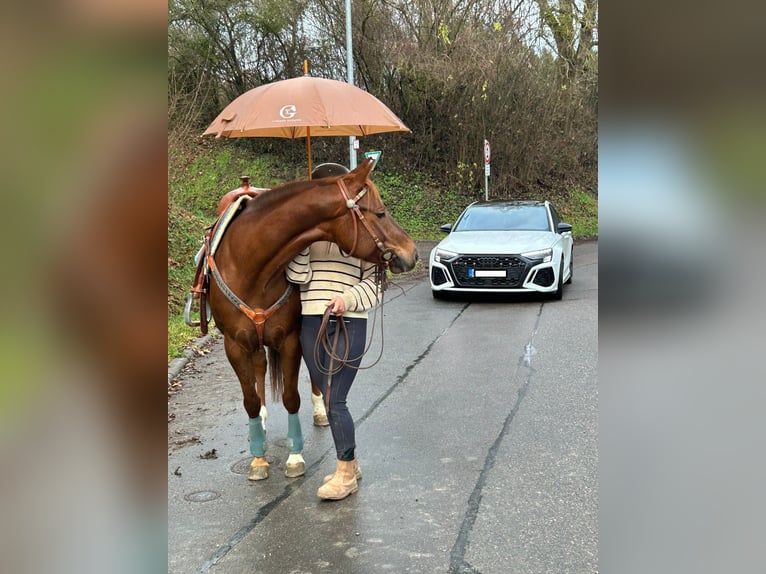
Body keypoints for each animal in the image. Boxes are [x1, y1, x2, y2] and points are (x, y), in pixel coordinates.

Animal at [206, 158, 418, 481]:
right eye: (380, 212)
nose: (412, 252)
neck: (250, 267)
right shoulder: (235, 346)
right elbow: (250, 401)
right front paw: (258, 458)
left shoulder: (291, 339)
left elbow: (292, 396)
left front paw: (295, 457)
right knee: (260, 369)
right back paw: (264, 420)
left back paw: (319, 410)